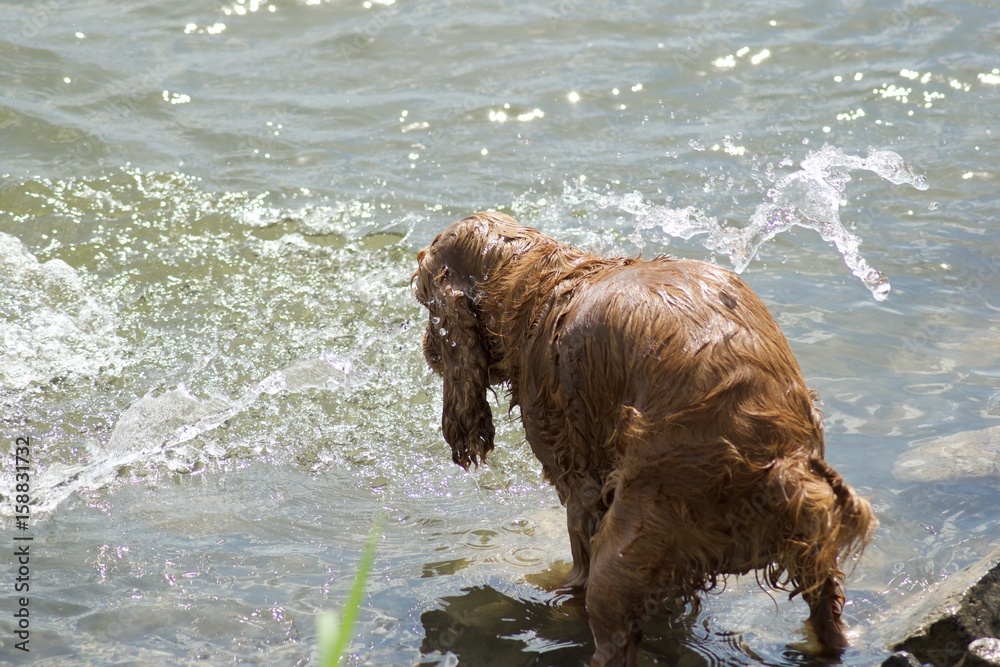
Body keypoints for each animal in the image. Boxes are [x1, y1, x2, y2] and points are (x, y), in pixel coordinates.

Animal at [412, 211, 876, 664]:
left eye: (422, 298)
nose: (428, 348)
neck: (534, 283)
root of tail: (776, 463)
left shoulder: (579, 486)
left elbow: (578, 557)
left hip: (628, 550)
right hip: (810, 541)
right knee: (826, 609)